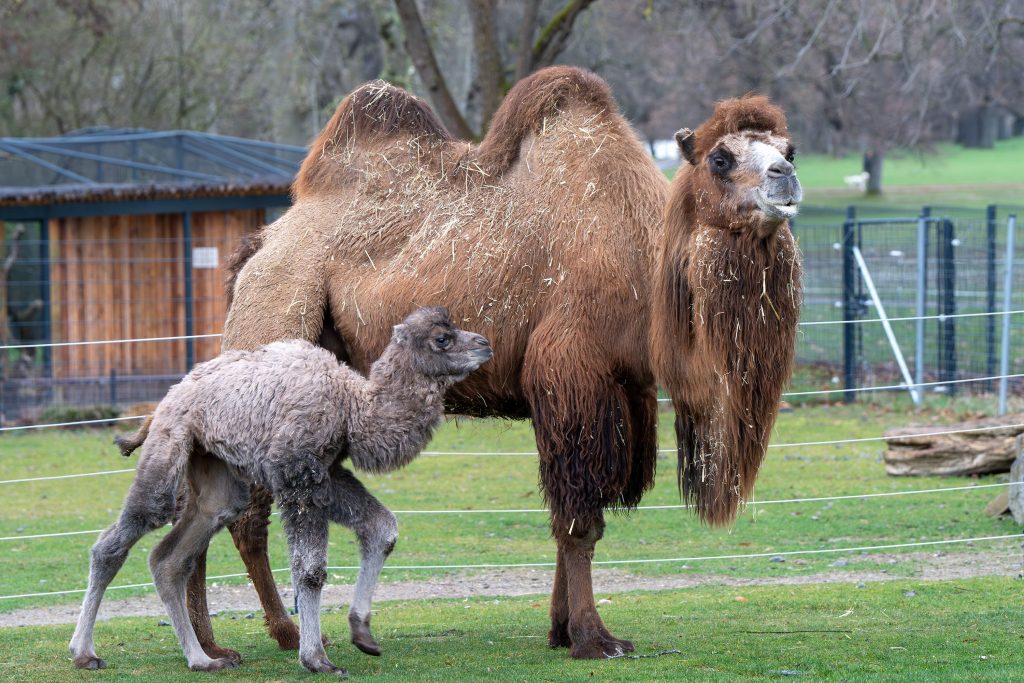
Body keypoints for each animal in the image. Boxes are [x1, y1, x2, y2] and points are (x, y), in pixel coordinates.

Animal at [69, 309, 491, 679]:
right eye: (442, 338)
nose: (485, 344)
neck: (353, 406)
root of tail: (163, 404)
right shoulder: (297, 473)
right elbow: (311, 570)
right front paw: (317, 660)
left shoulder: (327, 470)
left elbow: (381, 527)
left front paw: (362, 633)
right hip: (169, 448)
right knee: (122, 536)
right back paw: (85, 653)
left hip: (216, 473)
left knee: (172, 556)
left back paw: (204, 660)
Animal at [184, 66, 802, 659]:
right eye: (720, 159)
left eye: (789, 149)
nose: (785, 178)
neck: (645, 265)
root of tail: (260, 245)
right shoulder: (571, 374)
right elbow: (580, 522)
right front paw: (594, 638)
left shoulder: (630, 391)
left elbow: (571, 519)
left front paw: (560, 629)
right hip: (278, 318)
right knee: (242, 515)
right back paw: (279, 634)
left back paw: (223, 641)